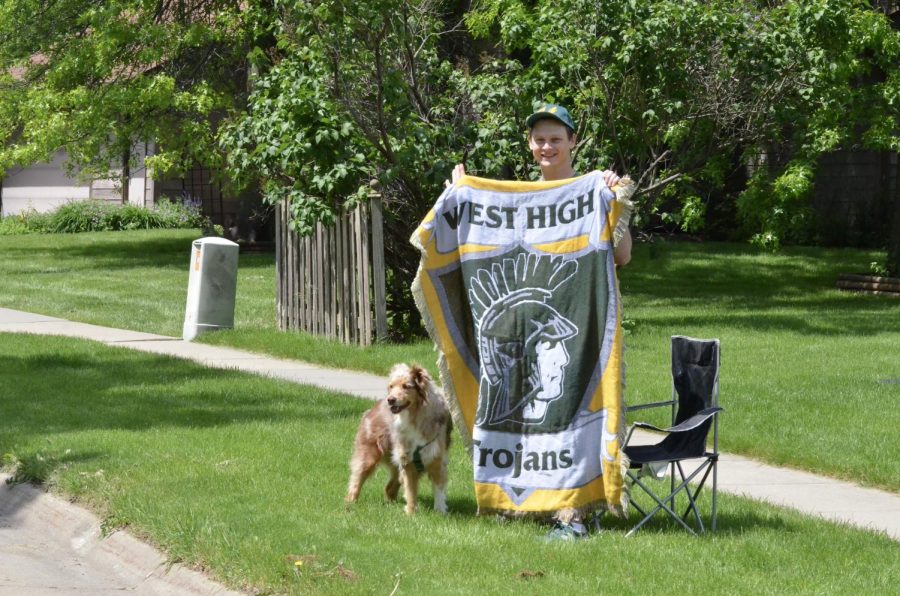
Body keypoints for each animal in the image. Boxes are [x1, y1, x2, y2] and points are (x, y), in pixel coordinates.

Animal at [348, 360, 454, 516]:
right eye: (391, 386)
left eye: (406, 386)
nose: (390, 400)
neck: (414, 417)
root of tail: (374, 407)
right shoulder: (407, 460)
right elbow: (410, 490)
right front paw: (411, 513)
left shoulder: (435, 458)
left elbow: (439, 489)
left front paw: (440, 512)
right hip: (369, 455)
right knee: (356, 479)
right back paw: (350, 503)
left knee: (389, 487)